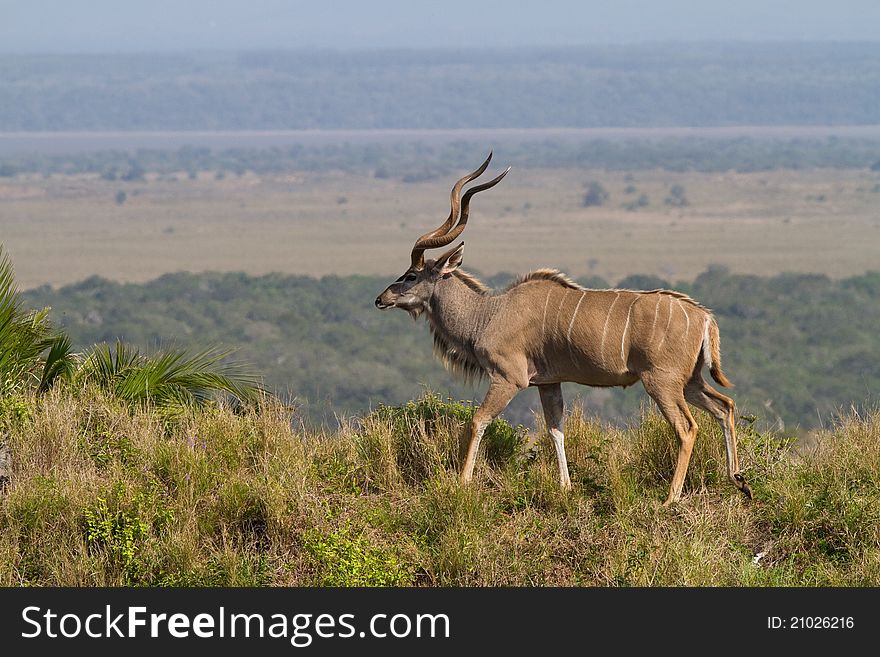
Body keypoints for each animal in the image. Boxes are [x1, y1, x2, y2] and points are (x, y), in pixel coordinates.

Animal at [374, 154, 752, 502]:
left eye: (411, 275)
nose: (381, 299)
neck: (489, 313)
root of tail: (704, 317)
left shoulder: (508, 379)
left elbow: (479, 420)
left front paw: (463, 482)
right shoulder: (548, 382)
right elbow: (556, 429)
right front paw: (566, 486)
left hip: (662, 382)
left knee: (687, 428)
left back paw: (671, 497)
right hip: (689, 381)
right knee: (725, 406)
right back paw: (739, 480)